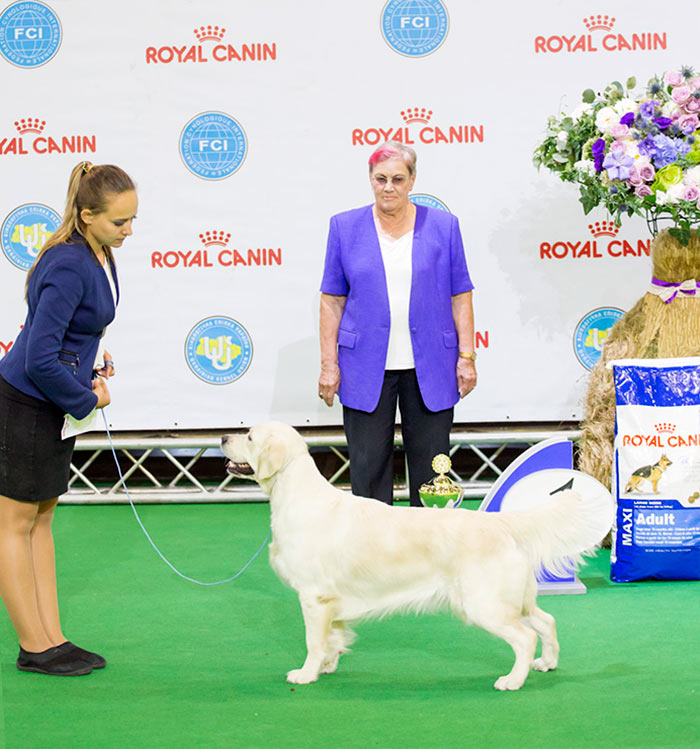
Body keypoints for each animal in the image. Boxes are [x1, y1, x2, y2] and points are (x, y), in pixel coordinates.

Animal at [221, 422, 613, 691]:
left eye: (250, 436)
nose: (223, 438)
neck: (295, 494)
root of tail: (501, 522)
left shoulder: (314, 597)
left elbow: (314, 641)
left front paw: (306, 673)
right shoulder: (331, 601)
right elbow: (333, 636)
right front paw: (329, 663)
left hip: (483, 604)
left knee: (525, 638)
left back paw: (512, 680)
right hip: (516, 598)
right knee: (546, 621)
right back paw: (547, 663)